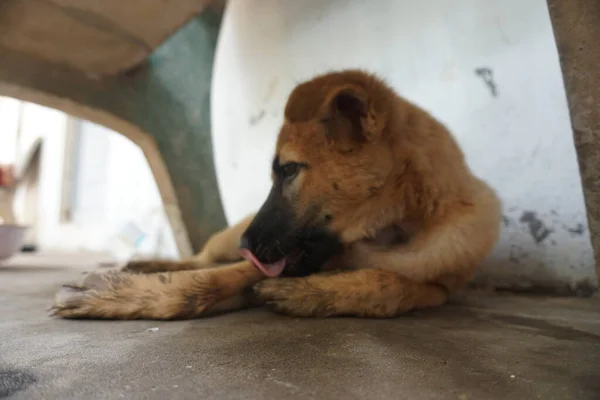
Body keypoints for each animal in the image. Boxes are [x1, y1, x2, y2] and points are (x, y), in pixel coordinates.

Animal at [51, 69, 502, 318]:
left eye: (288, 170)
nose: (246, 244)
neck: (389, 235)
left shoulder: (438, 288)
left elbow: (390, 285)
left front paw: (313, 295)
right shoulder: (268, 259)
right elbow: (209, 281)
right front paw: (123, 294)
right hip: (226, 238)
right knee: (199, 258)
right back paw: (147, 264)